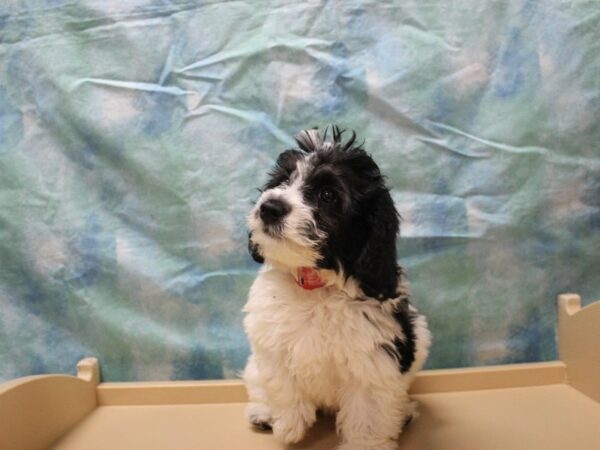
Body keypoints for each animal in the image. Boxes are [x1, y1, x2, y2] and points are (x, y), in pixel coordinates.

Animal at [244, 125, 432, 450]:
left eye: (327, 195)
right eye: (283, 180)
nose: (270, 207)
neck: (317, 284)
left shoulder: (374, 359)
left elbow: (369, 411)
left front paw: (366, 445)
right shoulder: (270, 343)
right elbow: (281, 384)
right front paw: (289, 424)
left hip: (418, 339)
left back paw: (405, 412)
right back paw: (264, 413)